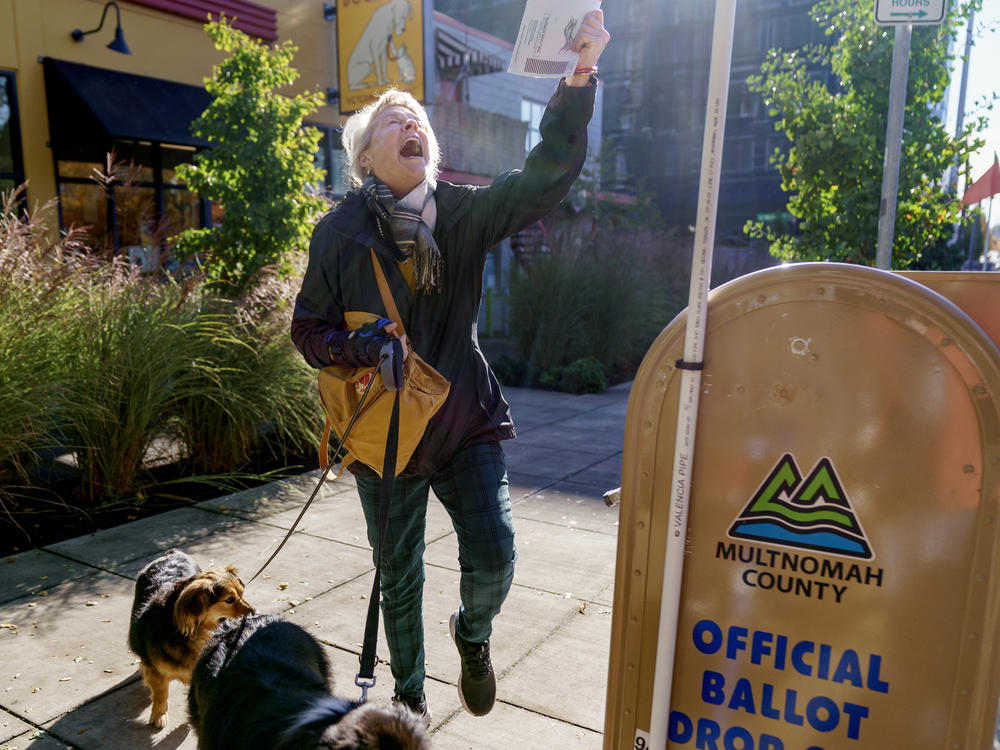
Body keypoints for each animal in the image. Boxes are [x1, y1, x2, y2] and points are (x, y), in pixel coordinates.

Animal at [128, 548, 254, 732]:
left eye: (242, 593)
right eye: (229, 600)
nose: (254, 612)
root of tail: (172, 552)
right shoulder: (156, 670)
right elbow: (160, 693)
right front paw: (159, 714)